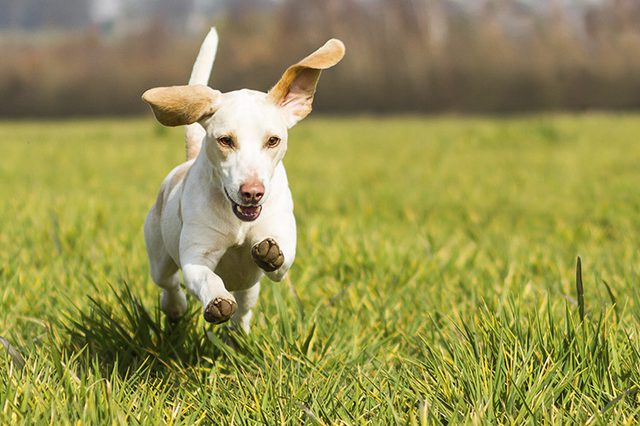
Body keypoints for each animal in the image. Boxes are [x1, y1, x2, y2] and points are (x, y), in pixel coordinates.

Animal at [142, 29, 344, 332]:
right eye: (226, 140)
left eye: (273, 140)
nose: (252, 192)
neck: (239, 222)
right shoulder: (196, 256)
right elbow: (206, 277)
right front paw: (218, 302)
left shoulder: (281, 242)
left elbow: (281, 260)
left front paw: (271, 253)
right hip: (159, 256)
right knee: (169, 285)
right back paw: (176, 308)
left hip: (249, 287)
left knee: (245, 308)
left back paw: (237, 332)